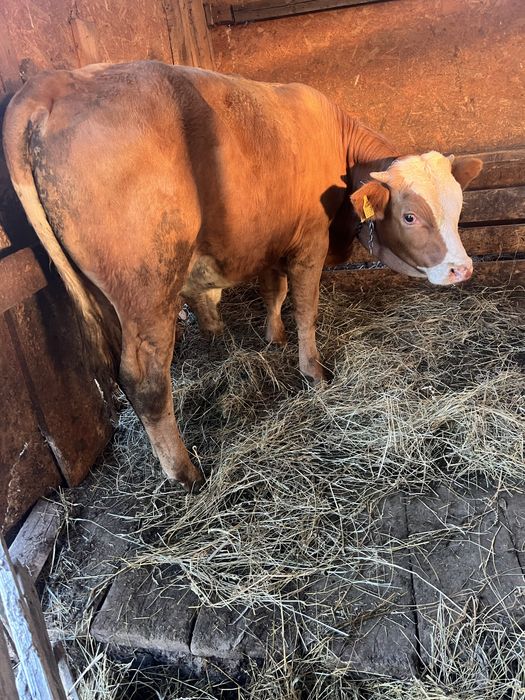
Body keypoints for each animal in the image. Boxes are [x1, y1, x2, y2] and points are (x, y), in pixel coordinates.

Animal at [3, 61, 482, 491]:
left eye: (459, 206)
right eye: (409, 216)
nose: (461, 268)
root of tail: (54, 82)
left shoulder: (274, 240)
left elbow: (274, 292)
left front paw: (273, 337)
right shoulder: (310, 240)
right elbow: (305, 307)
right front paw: (314, 371)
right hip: (146, 284)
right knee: (146, 380)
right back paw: (185, 472)